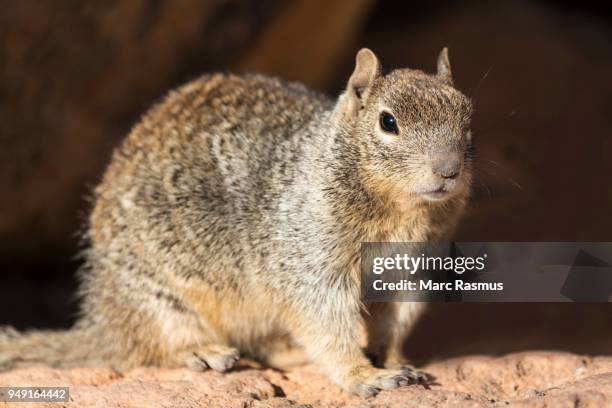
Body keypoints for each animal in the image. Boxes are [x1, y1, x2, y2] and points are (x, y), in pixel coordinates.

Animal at [0, 47, 474, 398]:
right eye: (387, 122)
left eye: (468, 116)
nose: (449, 170)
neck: (400, 212)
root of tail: (100, 321)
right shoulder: (310, 264)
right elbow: (327, 326)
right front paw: (365, 376)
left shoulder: (411, 270)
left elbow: (394, 323)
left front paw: (395, 362)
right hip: (155, 299)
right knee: (148, 347)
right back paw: (204, 352)